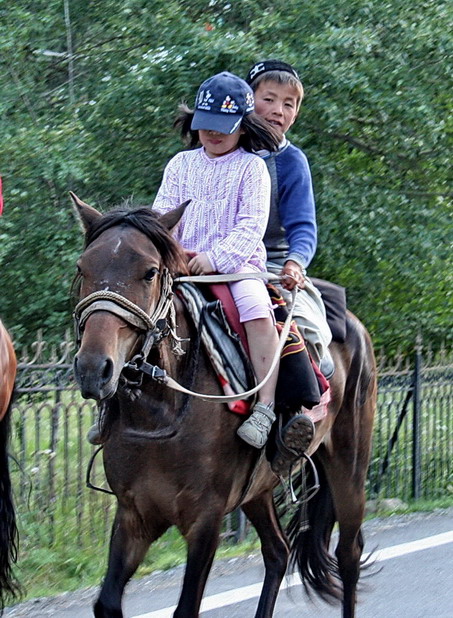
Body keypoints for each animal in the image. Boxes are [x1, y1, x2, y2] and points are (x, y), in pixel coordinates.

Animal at [69, 194, 374, 616]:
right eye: (83, 268)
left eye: (150, 273)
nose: (94, 368)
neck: (160, 413)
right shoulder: (135, 515)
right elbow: (108, 602)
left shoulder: (205, 520)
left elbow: (186, 608)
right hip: (259, 490)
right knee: (278, 552)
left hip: (349, 464)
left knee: (348, 553)